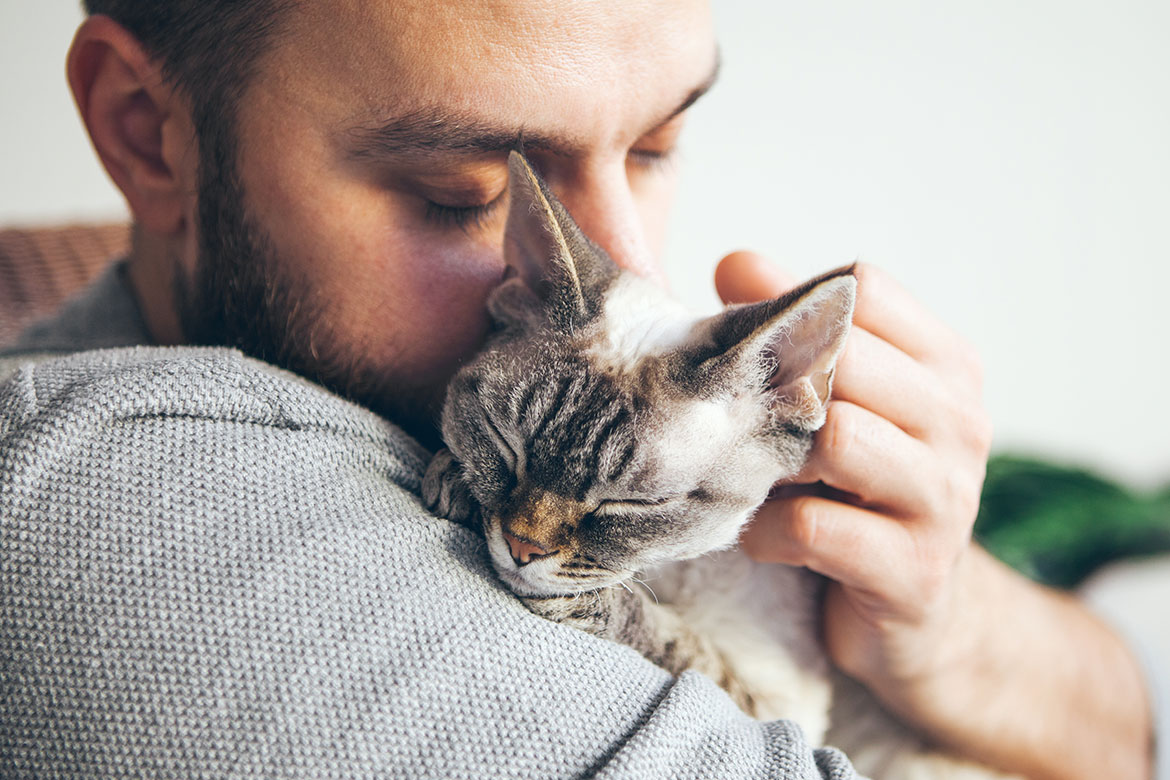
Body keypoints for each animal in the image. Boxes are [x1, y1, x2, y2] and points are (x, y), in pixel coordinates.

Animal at [423, 150, 1015, 780]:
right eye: (504, 443)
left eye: (633, 503)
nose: (521, 547)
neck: (670, 568)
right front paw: (455, 478)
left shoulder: (781, 705)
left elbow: (678, 644)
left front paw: (593, 600)